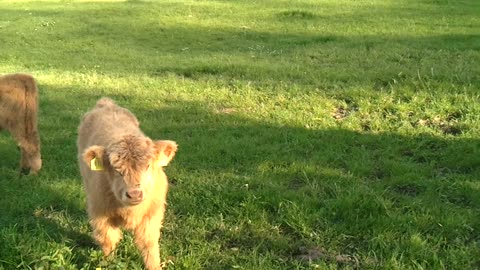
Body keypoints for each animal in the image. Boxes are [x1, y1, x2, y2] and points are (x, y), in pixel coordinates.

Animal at [77, 97, 178, 270]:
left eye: (147, 166)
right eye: (116, 169)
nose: (134, 194)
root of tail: (106, 103)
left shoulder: (152, 214)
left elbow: (149, 244)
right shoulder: (100, 214)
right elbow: (108, 241)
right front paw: (108, 263)